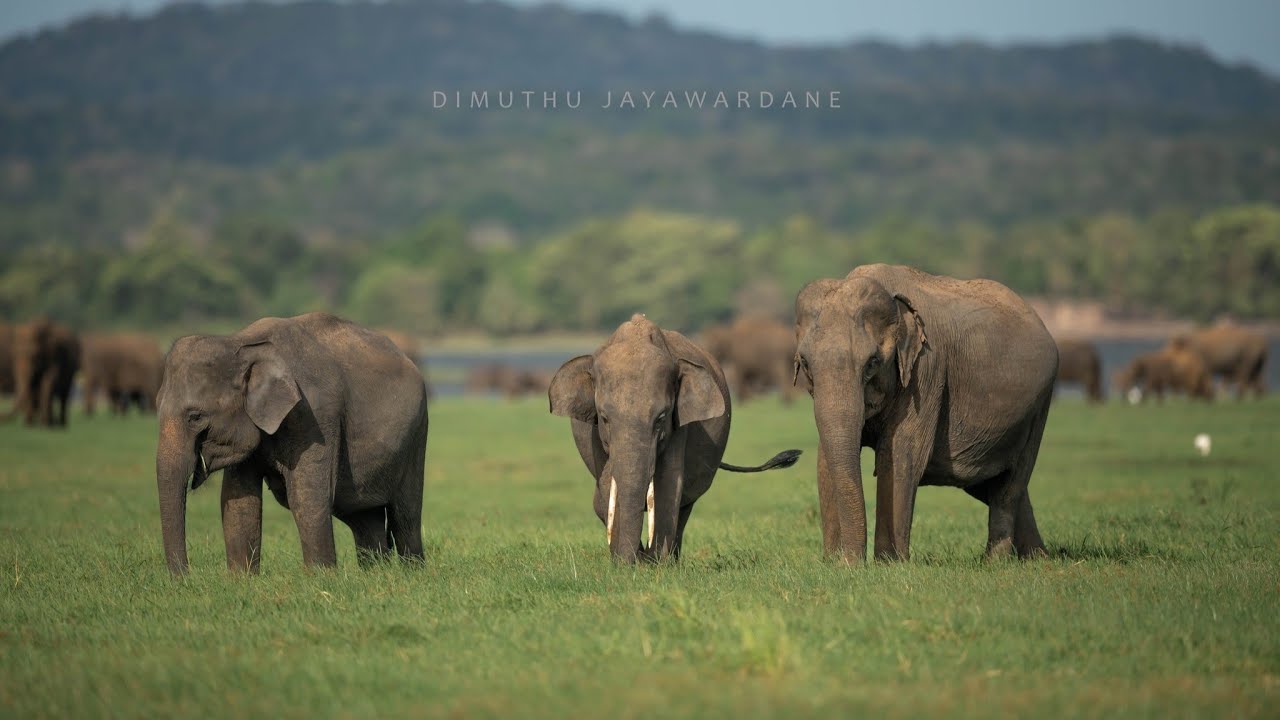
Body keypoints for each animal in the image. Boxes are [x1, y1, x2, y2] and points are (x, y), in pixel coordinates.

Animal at [155, 312, 429, 575]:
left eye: (195, 417)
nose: (186, 576)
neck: (240, 342)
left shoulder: (314, 416)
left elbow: (306, 497)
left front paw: (320, 579)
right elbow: (239, 502)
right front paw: (241, 580)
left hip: (416, 435)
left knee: (405, 516)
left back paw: (412, 573)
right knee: (364, 518)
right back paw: (376, 574)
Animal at [549, 313, 801, 563]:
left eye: (661, 417)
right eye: (603, 418)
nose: (634, 561)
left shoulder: (679, 427)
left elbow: (669, 482)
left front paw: (655, 564)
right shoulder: (595, 438)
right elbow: (608, 485)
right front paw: (627, 562)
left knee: (685, 503)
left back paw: (670, 560)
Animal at [794, 264, 1057, 564]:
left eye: (872, 363)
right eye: (805, 363)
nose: (852, 562)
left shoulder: (926, 372)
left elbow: (900, 455)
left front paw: (889, 563)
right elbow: (825, 458)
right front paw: (834, 563)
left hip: (1039, 406)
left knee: (1010, 485)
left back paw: (996, 561)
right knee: (991, 485)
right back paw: (1038, 558)